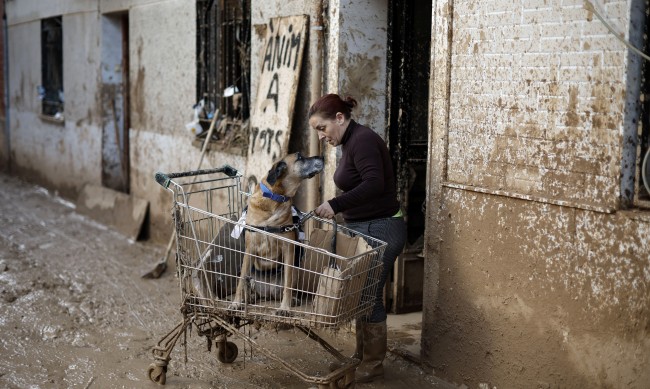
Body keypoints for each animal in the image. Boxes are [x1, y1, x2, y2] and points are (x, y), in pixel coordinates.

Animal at [228, 150, 324, 314]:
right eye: (300, 157)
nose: (323, 157)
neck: (274, 198)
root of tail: (268, 293)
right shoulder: (250, 249)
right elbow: (241, 281)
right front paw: (236, 303)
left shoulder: (289, 249)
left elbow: (287, 284)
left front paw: (285, 307)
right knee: (247, 282)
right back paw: (249, 297)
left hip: (295, 269)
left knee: (287, 285)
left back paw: (291, 300)